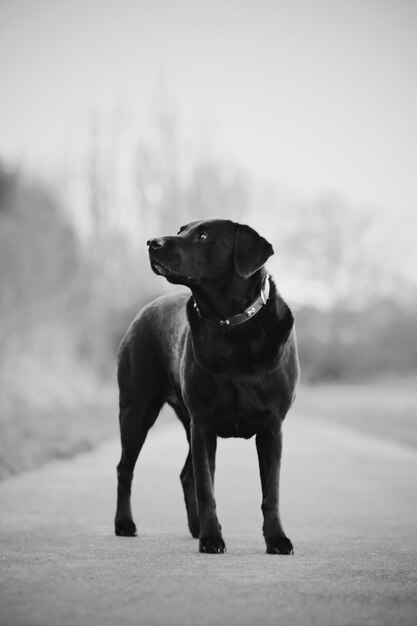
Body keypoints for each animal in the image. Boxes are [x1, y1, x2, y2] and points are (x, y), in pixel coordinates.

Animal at [114, 219, 300, 552]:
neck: (231, 324)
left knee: (185, 474)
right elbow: (206, 488)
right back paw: (125, 523)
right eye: (181, 230)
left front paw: (277, 539)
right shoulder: (203, 423)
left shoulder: (271, 427)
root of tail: (142, 312)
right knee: (126, 468)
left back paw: (195, 526)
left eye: (203, 236)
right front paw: (212, 538)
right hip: (137, 410)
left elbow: (271, 493)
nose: (152, 242)